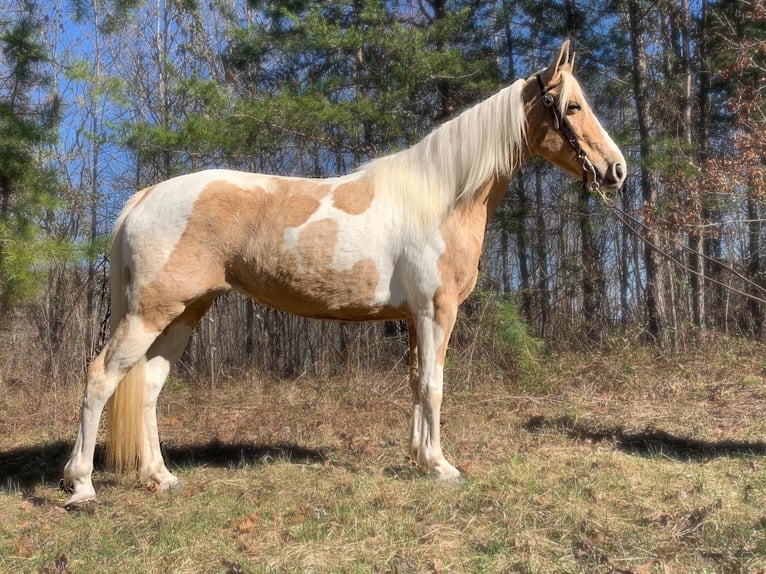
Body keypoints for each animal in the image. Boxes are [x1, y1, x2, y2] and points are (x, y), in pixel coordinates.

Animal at [61, 41, 632, 508]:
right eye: (573, 106)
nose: (617, 170)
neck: (441, 196)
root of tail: (145, 197)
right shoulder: (436, 311)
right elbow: (433, 385)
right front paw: (441, 466)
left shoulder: (414, 318)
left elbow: (415, 383)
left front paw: (416, 459)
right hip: (149, 314)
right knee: (100, 377)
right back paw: (82, 486)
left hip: (184, 312)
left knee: (149, 386)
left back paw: (160, 477)